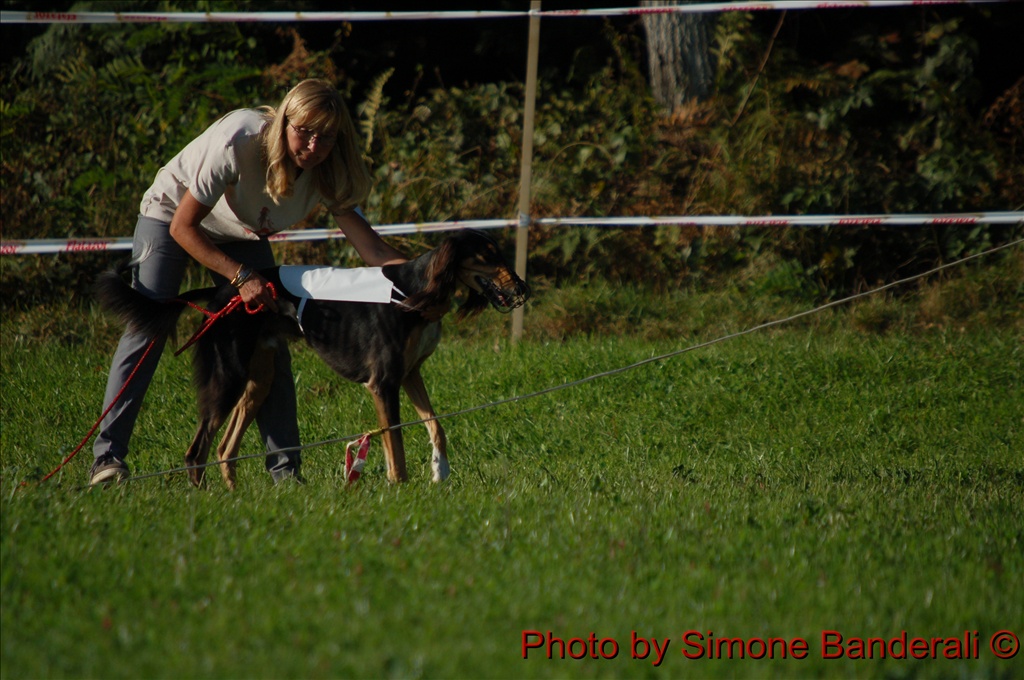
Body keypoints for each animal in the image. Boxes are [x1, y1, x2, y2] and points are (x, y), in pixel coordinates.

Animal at [96, 229, 529, 488]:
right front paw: (400, 487)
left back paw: (233, 499)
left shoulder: (410, 374)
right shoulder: (384, 382)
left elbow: (436, 425)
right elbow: (396, 439)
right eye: (488, 256)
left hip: (259, 379)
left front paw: (440, 472)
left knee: (223, 449)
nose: (522, 287)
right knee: (196, 451)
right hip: (226, 376)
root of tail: (221, 295)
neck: (413, 292)